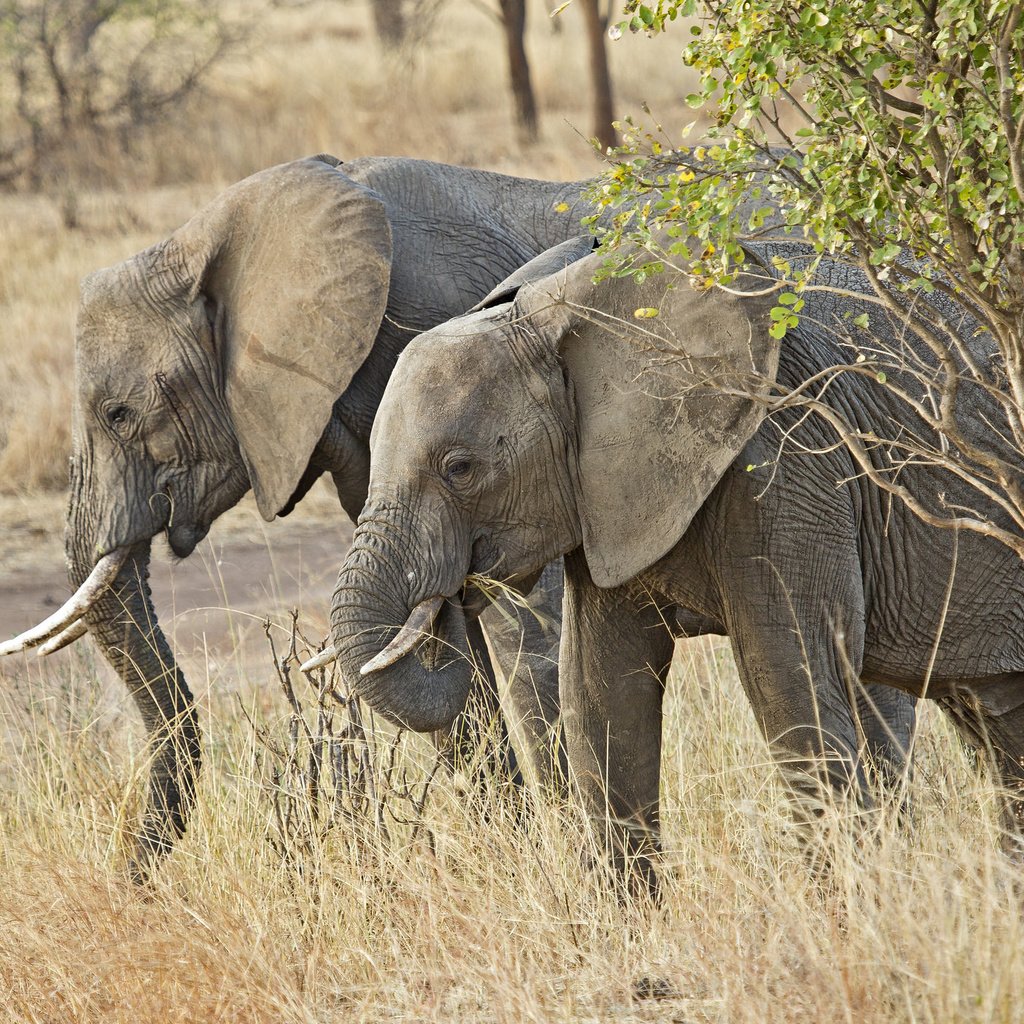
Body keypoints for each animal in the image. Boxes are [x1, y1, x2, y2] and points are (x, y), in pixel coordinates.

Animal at [0, 153, 585, 880]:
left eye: (119, 414)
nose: (130, 884)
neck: (207, 243)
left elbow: (522, 625)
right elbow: (419, 643)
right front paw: (516, 863)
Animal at [329, 241, 1024, 897]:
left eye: (460, 468)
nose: (448, 596)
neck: (555, 313)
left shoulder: (788, 460)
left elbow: (790, 679)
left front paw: (846, 919)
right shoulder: (608, 493)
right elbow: (601, 695)